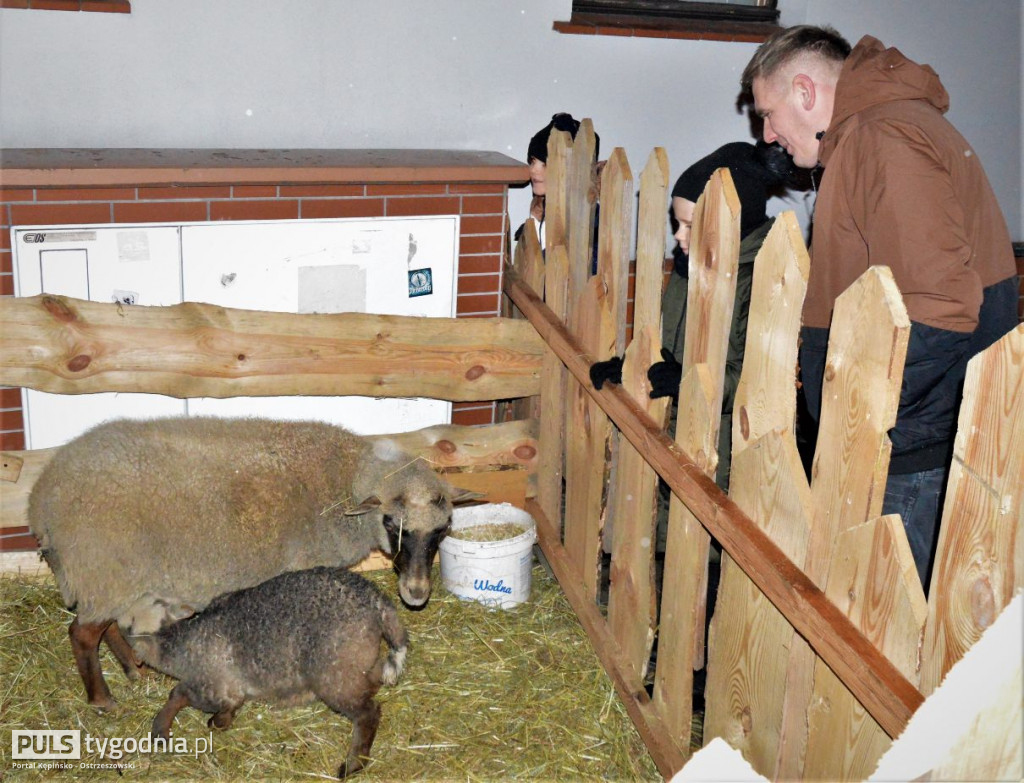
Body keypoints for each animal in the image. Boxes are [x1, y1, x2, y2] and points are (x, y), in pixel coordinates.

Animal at [28, 415, 475, 708]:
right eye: (391, 523)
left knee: (106, 626)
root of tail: (41, 497)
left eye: (442, 530)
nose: (416, 594)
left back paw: (133, 668)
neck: (341, 484)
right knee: (82, 634)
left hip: (117, 576)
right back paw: (102, 699)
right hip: (103, 567)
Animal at [125, 564, 401, 777]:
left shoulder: (213, 688)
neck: (179, 641)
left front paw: (168, 727)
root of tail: (377, 601)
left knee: (368, 713)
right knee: (373, 682)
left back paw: (353, 765)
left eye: (130, 621)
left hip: (335, 675)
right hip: (358, 662)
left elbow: (181, 695)